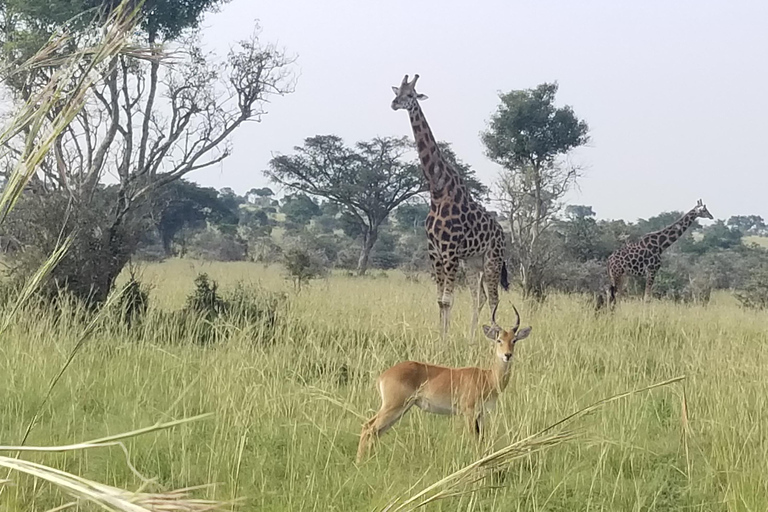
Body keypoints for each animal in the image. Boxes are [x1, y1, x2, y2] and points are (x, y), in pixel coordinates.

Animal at [356, 304, 532, 464]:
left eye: (514, 340)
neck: (487, 377)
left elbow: (482, 439)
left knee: (376, 431)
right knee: (368, 427)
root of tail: (382, 375)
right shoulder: (469, 412)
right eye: (498, 340)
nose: (507, 355)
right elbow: (474, 439)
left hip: (401, 409)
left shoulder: (482, 414)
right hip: (393, 406)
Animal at [390, 74, 510, 338]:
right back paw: (472, 337)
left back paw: (494, 335)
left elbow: (448, 300)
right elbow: (440, 300)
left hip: (492, 259)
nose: (394, 103)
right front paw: (440, 336)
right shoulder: (434, 251)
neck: (438, 191)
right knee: (480, 297)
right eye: (397, 91)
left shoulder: (450, 251)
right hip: (472, 262)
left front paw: (444, 340)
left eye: (410, 94)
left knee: (494, 298)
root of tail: (502, 232)